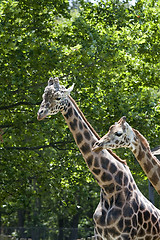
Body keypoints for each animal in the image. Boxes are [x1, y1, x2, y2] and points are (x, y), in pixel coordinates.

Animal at [37, 78, 160, 239]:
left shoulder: (124, 235)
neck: (108, 187)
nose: (40, 113)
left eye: (58, 97)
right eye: (43, 95)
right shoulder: (98, 234)